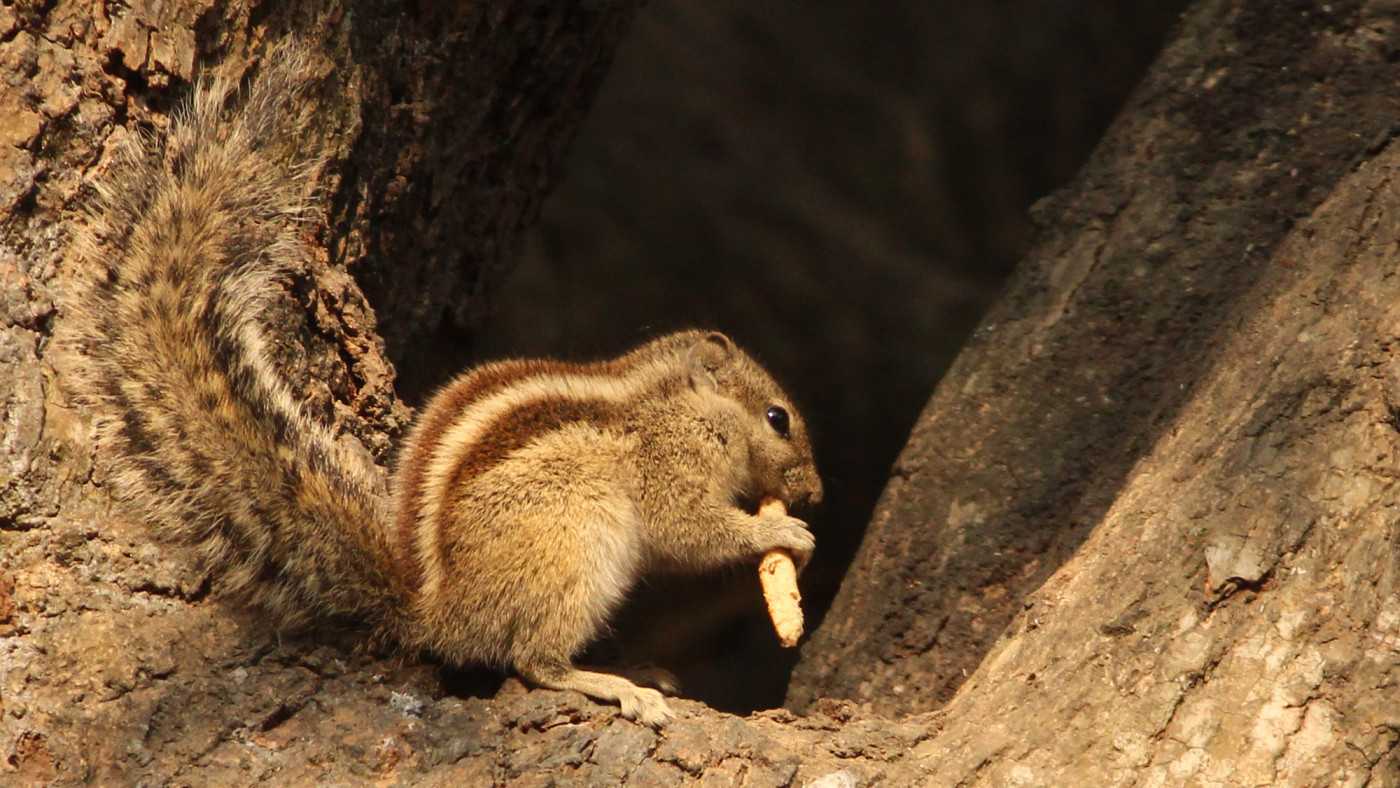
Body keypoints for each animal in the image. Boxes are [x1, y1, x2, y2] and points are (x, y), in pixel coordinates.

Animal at [68, 41, 821, 727]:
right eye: (778, 418)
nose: (814, 493)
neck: (676, 403)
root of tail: (440, 614)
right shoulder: (670, 467)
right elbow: (687, 530)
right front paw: (782, 533)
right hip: (573, 544)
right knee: (533, 660)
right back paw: (615, 685)